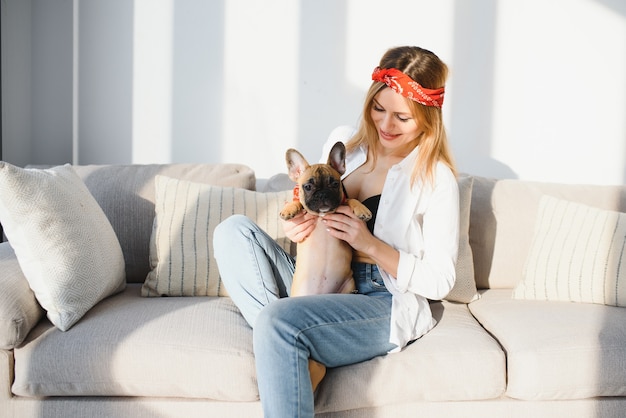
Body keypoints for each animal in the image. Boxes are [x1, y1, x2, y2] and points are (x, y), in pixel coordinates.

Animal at [280, 142, 370, 296]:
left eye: (335, 184)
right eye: (308, 187)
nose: (322, 194)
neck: (322, 215)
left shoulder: (343, 202)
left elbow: (352, 199)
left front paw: (362, 210)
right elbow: (298, 202)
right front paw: (288, 209)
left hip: (348, 287)